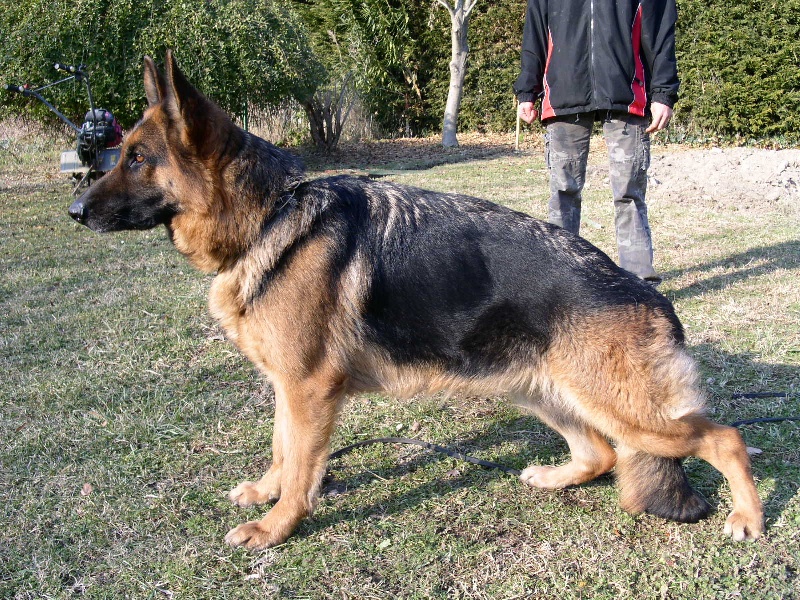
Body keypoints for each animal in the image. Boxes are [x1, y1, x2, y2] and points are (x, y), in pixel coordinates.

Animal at [69, 54, 764, 552]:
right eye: (119, 154)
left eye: (137, 159)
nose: (74, 210)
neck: (269, 215)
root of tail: (648, 294)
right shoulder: (288, 388)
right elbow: (281, 449)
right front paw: (267, 493)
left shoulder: (310, 389)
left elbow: (300, 465)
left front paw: (277, 526)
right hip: (541, 391)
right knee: (601, 454)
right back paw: (552, 477)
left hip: (622, 408)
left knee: (723, 437)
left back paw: (748, 518)